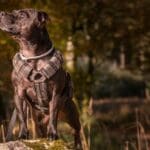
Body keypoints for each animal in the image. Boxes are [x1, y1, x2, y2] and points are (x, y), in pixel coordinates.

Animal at [0, 8, 81, 148]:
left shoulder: (55, 93)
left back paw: (78, 143)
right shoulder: (18, 93)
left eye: (22, 15)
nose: (1, 13)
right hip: (38, 120)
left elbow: (53, 114)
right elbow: (21, 117)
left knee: (76, 129)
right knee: (40, 128)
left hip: (70, 114)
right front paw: (22, 135)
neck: (32, 56)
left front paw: (52, 135)